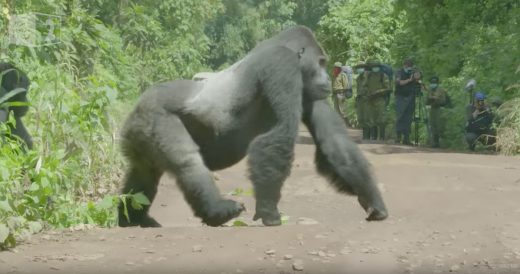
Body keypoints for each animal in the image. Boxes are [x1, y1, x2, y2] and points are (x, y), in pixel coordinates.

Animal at [117, 25, 386, 227]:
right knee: (188, 162)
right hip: (155, 115)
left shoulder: (309, 90)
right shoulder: (282, 64)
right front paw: (269, 211)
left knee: (143, 175)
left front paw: (372, 200)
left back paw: (132, 218)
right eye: (320, 62)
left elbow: (333, 142)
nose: (327, 78)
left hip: (138, 131)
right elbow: (279, 136)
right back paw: (217, 211)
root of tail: (135, 108)